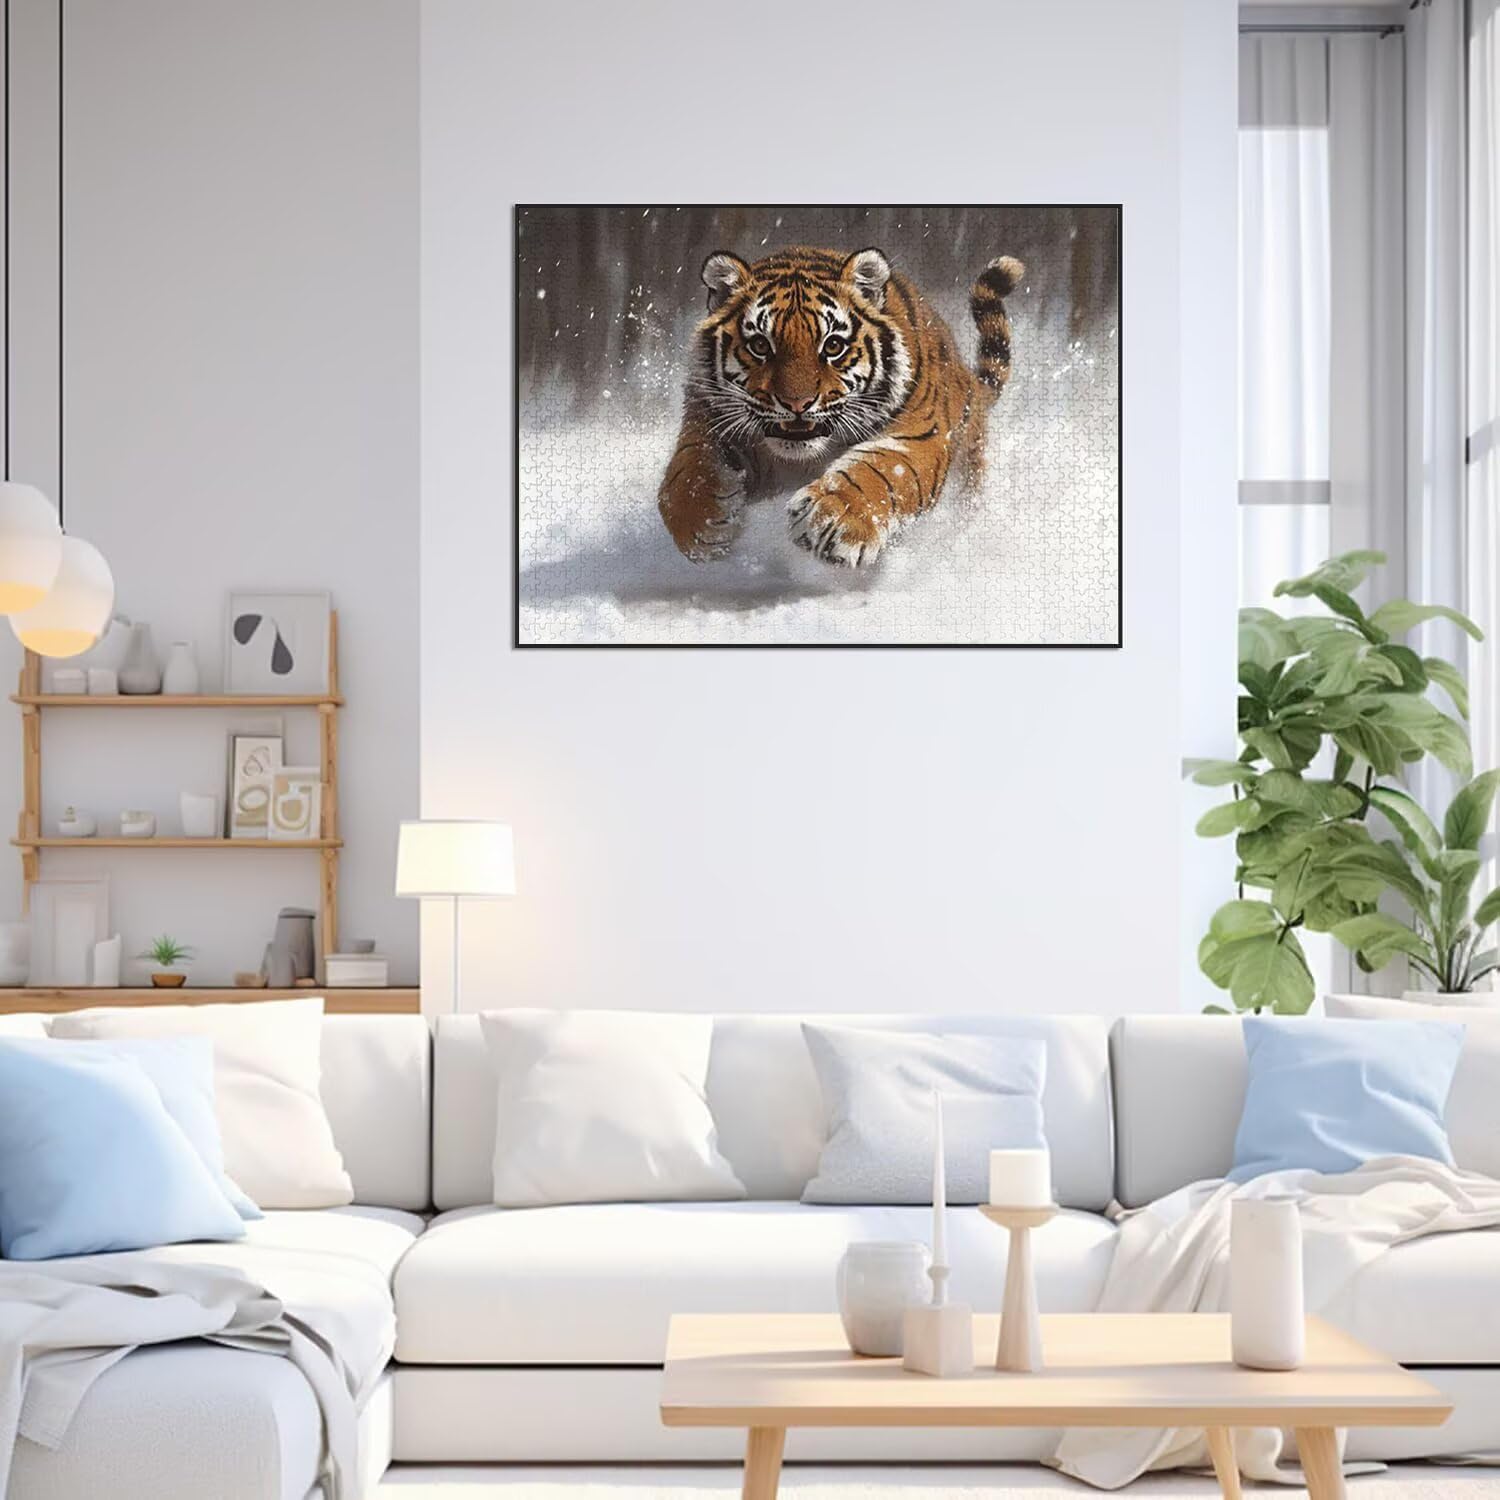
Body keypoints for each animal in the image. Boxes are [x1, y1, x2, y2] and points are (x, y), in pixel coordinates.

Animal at [656, 244, 1024, 568]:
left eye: (833, 346)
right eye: (760, 345)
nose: (797, 403)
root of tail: (970, 379)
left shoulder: (921, 435)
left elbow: (882, 470)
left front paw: (833, 521)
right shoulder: (709, 413)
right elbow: (690, 465)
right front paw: (701, 523)